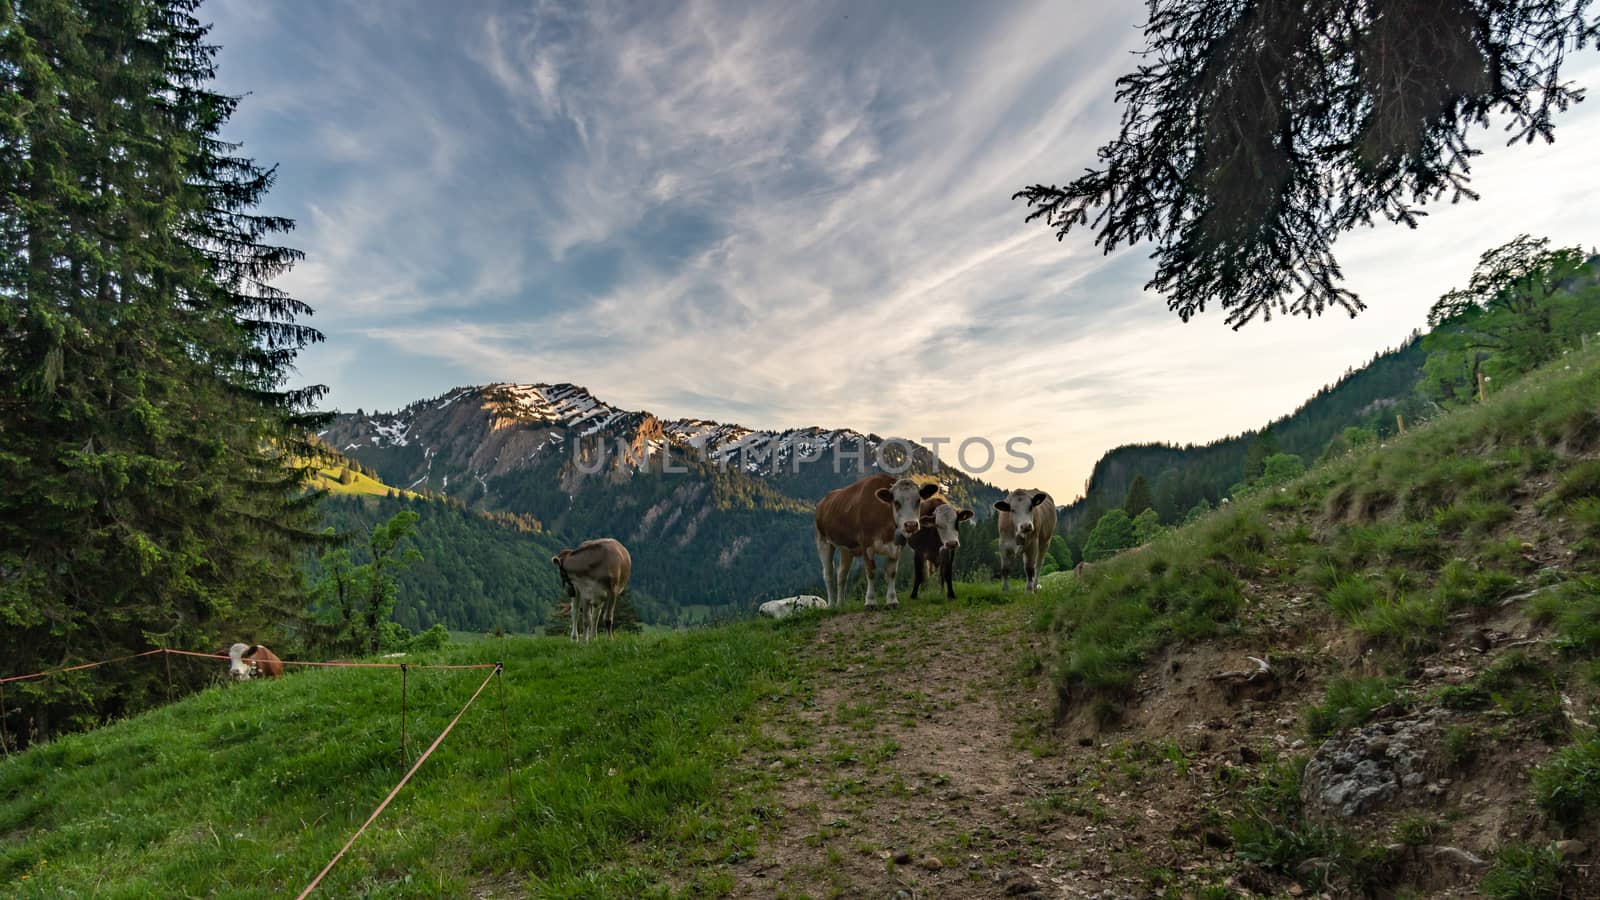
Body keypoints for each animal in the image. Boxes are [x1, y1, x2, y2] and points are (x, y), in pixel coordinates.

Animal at [812, 474, 934, 605]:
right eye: (896, 502)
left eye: (918, 500)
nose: (911, 525)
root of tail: (823, 501)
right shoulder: (866, 545)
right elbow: (871, 572)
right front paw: (870, 602)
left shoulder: (896, 547)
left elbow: (891, 573)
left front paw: (892, 601)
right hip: (823, 541)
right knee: (828, 573)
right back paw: (831, 604)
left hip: (847, 548)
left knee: (842, 573)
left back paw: (841, 604)